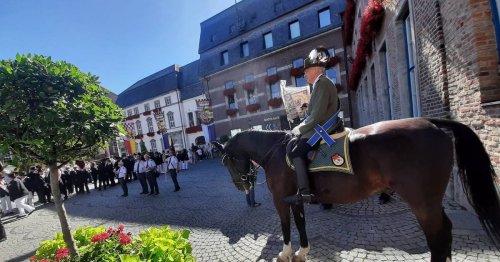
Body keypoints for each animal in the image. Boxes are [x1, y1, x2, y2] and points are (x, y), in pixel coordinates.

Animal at [214, 118, 500, 262]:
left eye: (226, 161)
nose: (242, 185)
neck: (275, 151)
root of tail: (433, 124)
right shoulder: (296, 199)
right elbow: (301, 224)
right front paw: (302, 252)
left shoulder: (280, 200)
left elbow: (286, 227)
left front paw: (284, 253)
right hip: (430, 202)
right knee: (446, 232)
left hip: (422, 203)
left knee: (438, 239)